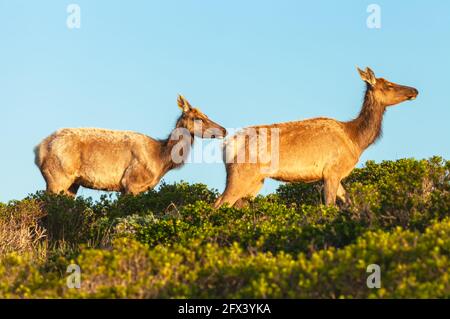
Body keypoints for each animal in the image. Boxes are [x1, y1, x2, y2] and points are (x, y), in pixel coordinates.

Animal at [34, 95, 229, 196]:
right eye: (198, 118)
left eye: (206, 114)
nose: (224, 130)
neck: (160, 160)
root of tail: (38, 150)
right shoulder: (131, 182)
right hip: (57, 177)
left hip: (72, 184)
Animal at [214, 67, 418, 210]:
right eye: (389, 84)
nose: (415, 90)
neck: (356, 140)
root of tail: (226, 146)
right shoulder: (332, 171)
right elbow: (329, 205)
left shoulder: (333, 175)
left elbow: (348, 200)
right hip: (240, 174)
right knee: (218, 203)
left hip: (256, 181)